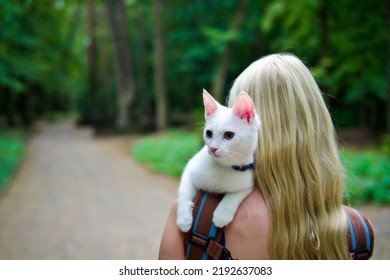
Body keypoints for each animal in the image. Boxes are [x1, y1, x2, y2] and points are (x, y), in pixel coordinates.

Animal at [176, 89, 258, 232]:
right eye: (208, 133)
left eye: (229, 135)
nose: (213, 148)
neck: (222, 167)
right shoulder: (190, 168)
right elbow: (184, 191)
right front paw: (184, 219)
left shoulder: (247, 181)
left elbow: (236, 195)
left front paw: (222, 214)